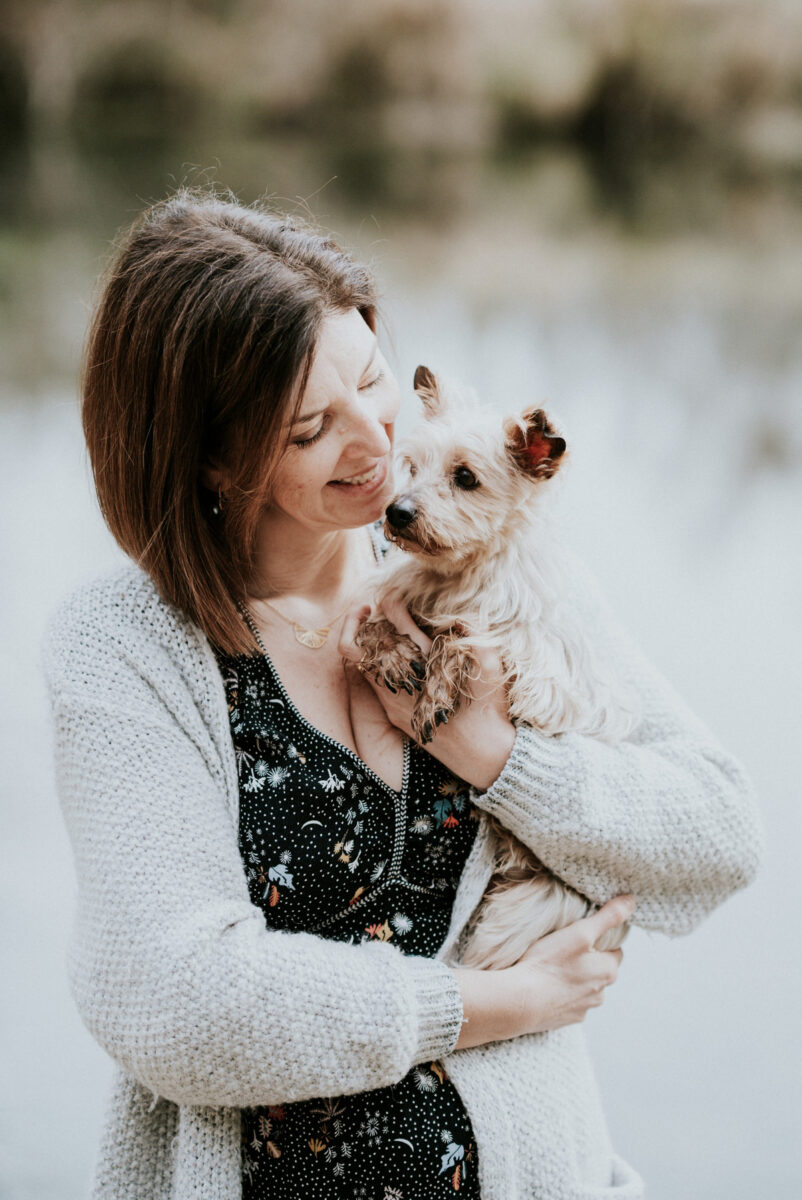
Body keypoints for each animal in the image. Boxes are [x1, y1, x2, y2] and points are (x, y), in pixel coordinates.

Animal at [355, 364, 638, 964]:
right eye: (411, 466)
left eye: (466, 477)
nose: (397, 511)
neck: (458, 576)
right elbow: (370, 623)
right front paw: (392, 654)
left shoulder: (541, 678)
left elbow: (464, 634)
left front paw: (437, 689)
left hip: (517, 912)